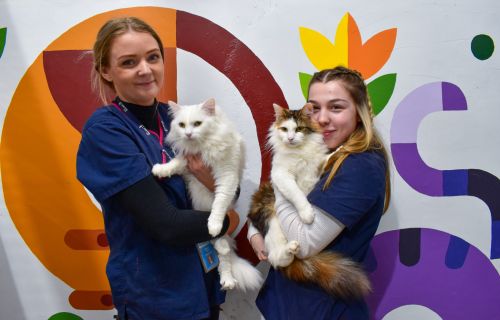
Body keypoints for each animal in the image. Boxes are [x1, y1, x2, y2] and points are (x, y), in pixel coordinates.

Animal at [151, 99, 262, 292]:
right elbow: (174, 164)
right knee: (220, 249)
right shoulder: (187, 161)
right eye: (182, 125)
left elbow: (219, 203)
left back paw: (228, 279)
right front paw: (159, 170)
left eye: (197, 124)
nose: (188, 134)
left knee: (224, 257)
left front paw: (214, 224)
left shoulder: (227, 177)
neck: (201, 147)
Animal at [249, 103, 372, 300]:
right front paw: (307, 214)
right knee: (277, 258)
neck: (300, 151)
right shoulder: (281, 176)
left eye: (299, 129)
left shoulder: (317, 166)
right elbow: (298, 195)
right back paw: (290, 249)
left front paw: (342, 148)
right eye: (285, 129)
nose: (290, 138)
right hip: (271, 218)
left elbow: (330, 157)